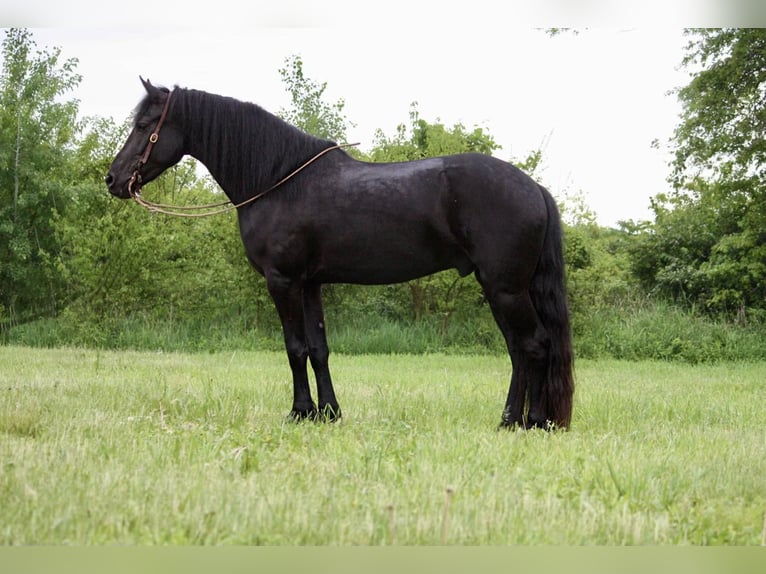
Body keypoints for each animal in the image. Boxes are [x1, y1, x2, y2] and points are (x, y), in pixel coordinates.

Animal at [108, 79, 576, 430]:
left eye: (145, 124)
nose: (113, 179)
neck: (279, 181)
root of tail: (534, 188)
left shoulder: (283, 281)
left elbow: (295, 347)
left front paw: (300, 412)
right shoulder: (310, 284)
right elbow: (318, 349)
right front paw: (329, 413)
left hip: (505, 289)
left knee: (534, 346)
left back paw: (532, 422)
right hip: (503, 289)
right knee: (519, 350)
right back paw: (511, 419)